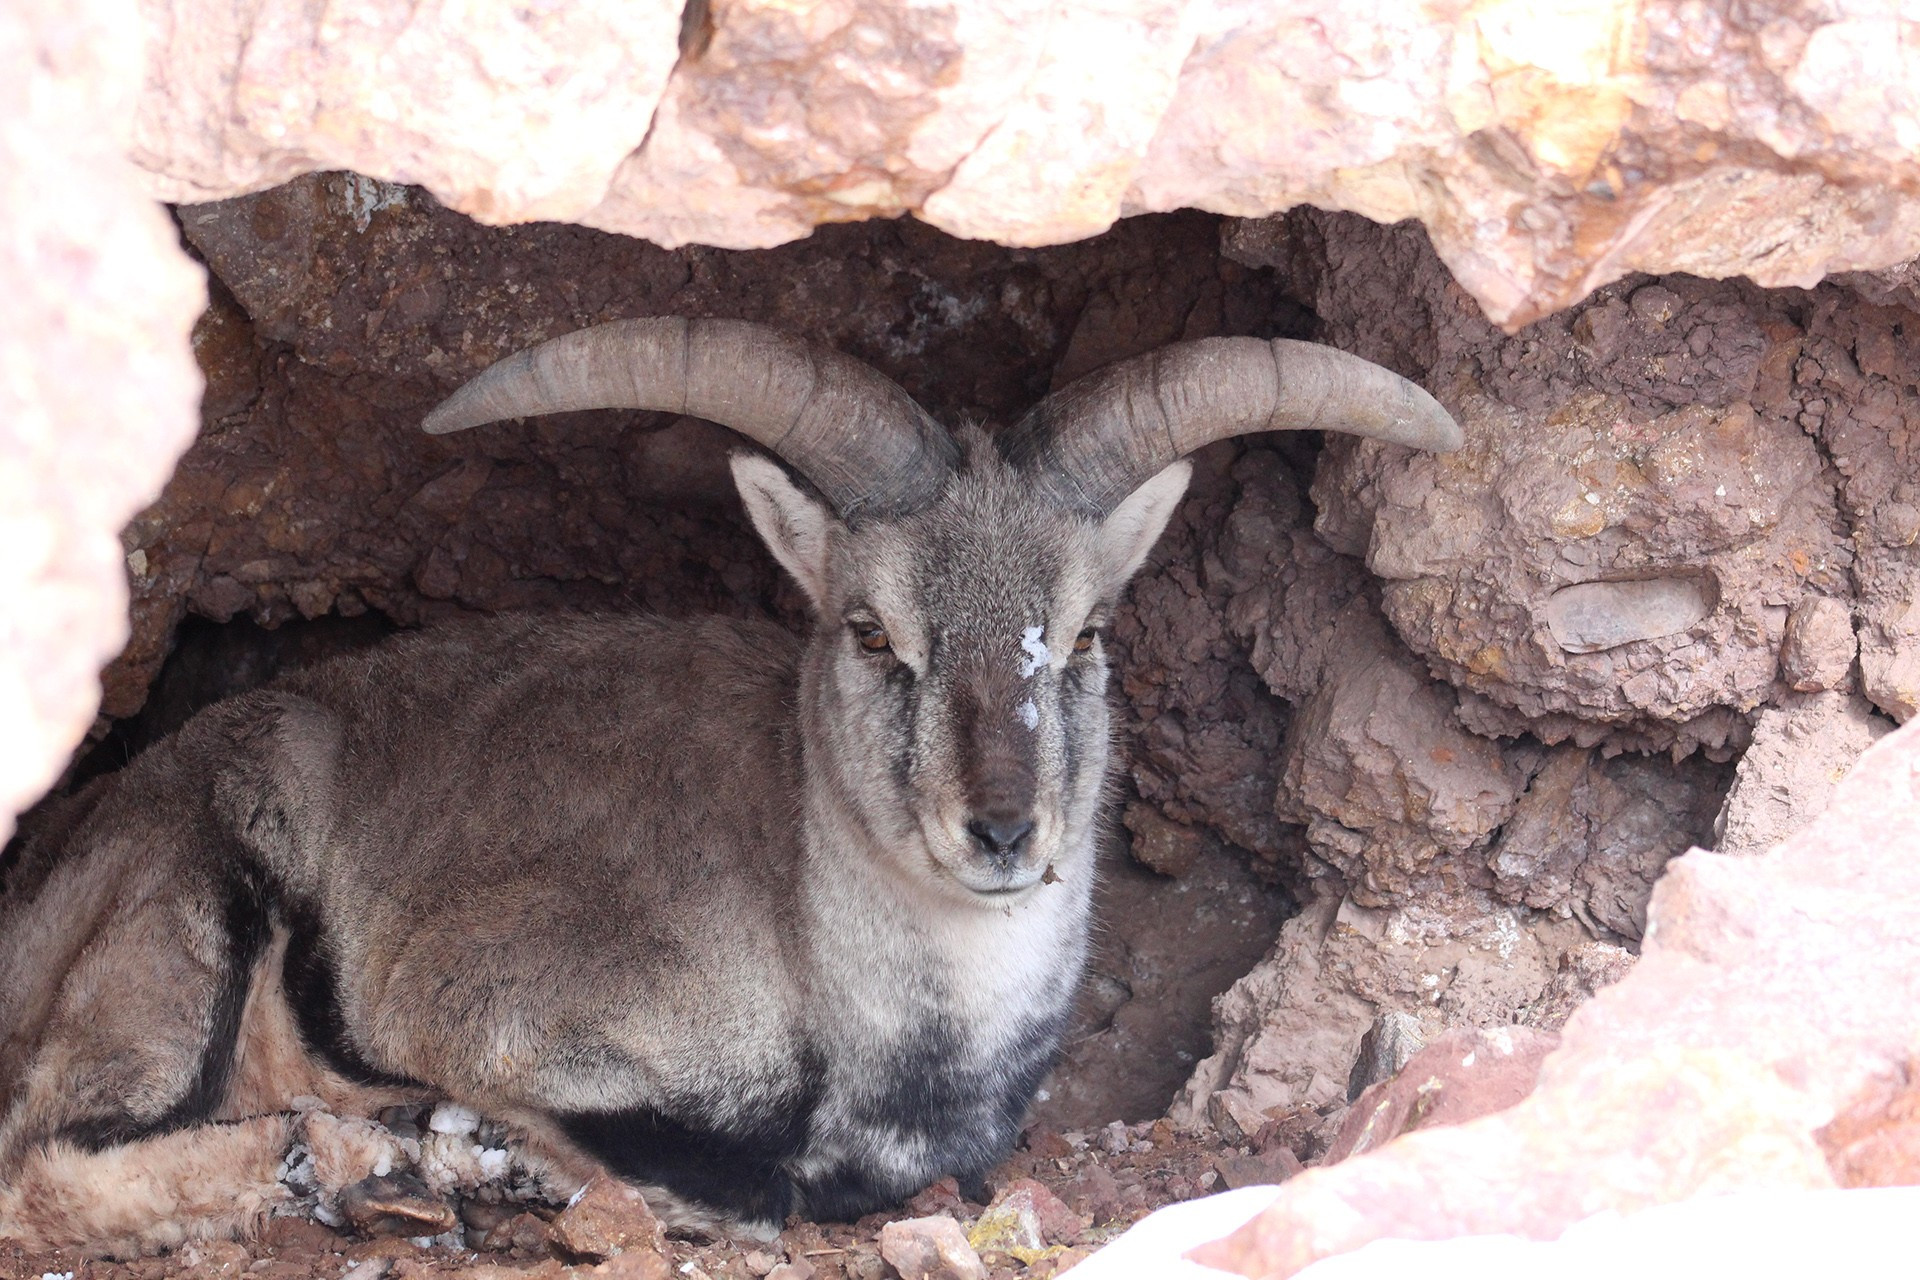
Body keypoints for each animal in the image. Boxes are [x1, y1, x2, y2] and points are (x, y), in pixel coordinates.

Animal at [0, 317, 1460, 1256]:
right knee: (45, 1165)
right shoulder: (489, 1012)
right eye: (870, 630)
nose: (1002, 829)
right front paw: (477, 1154)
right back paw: (357, 1159)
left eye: (1091, 629)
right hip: (190, 910)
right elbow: (735, 1184)